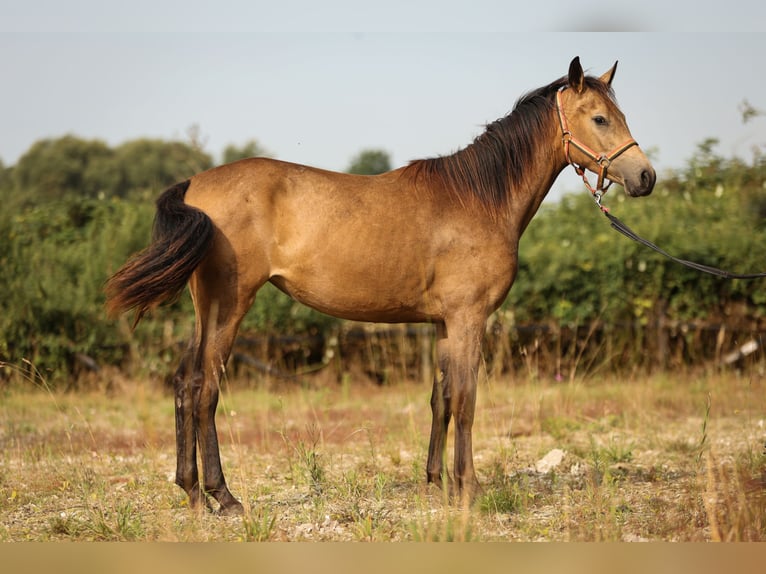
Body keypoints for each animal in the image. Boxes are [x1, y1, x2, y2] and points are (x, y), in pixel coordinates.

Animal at [105, 57, 656, 516]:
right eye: (600, 119)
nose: (645, 177)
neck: (479, 197)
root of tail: (195, 185)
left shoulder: (443, 324)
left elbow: (441, 399)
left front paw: (438, 483)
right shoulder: (468, 318)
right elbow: (466, 399)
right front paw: (470, 489)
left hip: (206, 309)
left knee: (184, 382)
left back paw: (192, 492)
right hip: (229, 305)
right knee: (204, 388)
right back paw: (223, 496)